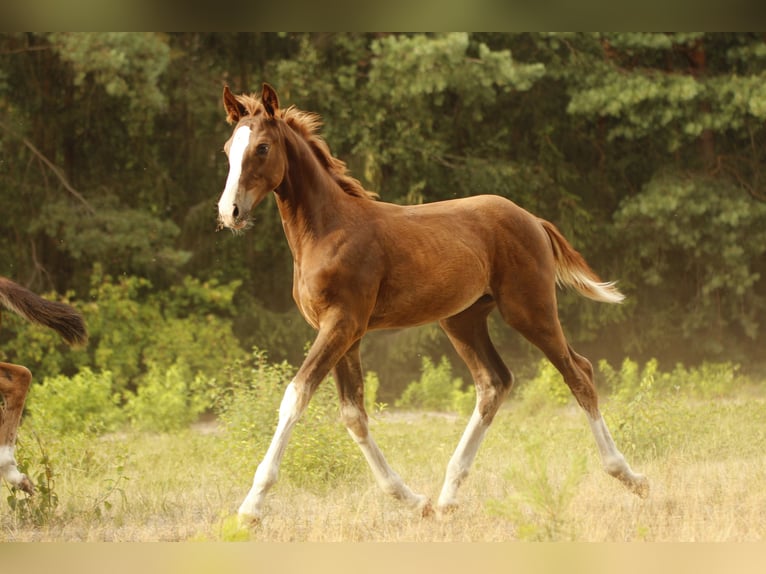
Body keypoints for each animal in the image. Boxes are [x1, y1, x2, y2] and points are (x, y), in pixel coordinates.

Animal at [219, 83, 652, 524]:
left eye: (263, 148)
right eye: (228, 149)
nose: (229, 211)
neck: (328, 229)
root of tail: (533, 220)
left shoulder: (342, 324)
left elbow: (296, 396)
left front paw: (251, 506)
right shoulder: (341, 332)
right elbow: (354, 415)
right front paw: (412, 499)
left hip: (530, 310)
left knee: (578, 373)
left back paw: (630, 477)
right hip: (462, 320)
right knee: (494, 383)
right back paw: (447, 497)